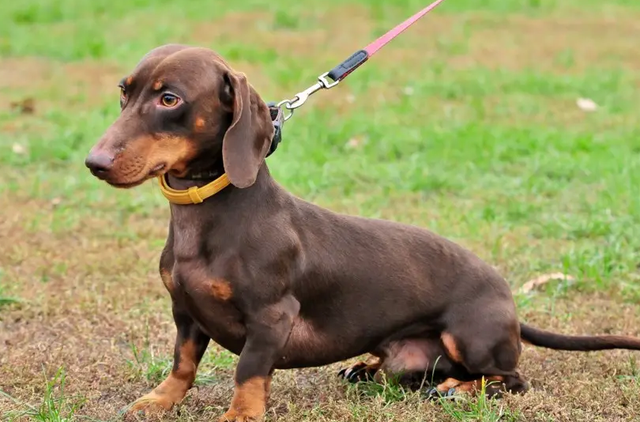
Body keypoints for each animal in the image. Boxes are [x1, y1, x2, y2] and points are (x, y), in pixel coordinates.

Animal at [86, 44, 640, 420]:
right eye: (124, 91)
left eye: (170, 98)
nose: (94, 162)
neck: (207, 217)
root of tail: (509, 302)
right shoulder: (184, 311)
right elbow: (182, 363)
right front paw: (158, 400)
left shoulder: (271, 317)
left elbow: (248, 371)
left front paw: (241, 414)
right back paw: (367, 367)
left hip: (472, 337)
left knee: (508, 378)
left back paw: (458, 390)